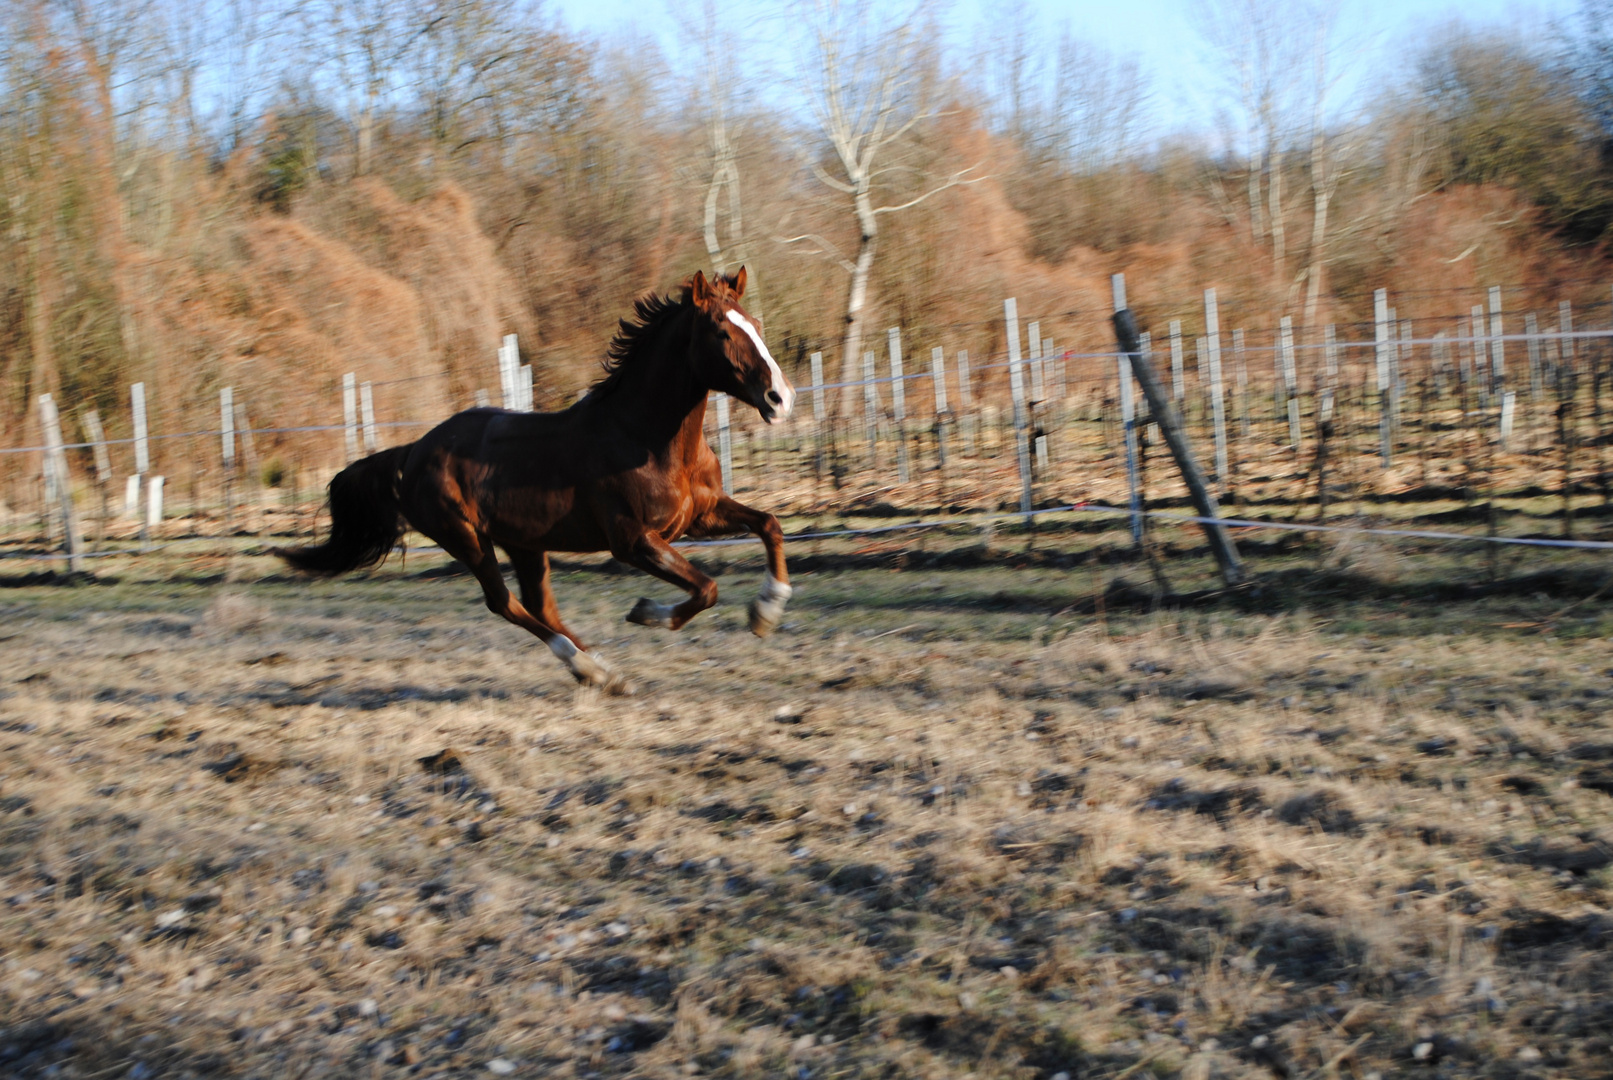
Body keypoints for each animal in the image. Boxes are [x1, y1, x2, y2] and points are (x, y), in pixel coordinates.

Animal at [288, 269, 800, 693]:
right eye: (721, 331)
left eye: (755, 322)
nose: (781, 398)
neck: (645, 437)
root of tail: (413, 450)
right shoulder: (634, 541)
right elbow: (706, 588)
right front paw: (646, 613)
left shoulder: (700, 514)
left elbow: (769, 525)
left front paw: (766, 612)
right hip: (466, 538)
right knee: (503, 603)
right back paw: (591, 668)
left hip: (524, 542)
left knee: (539, 605)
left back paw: (603, 671)